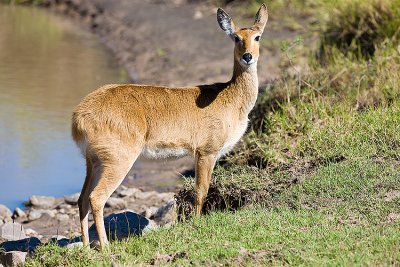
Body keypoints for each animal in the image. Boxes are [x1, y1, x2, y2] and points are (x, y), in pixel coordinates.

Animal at [72, 3, 268, 249]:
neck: (229, 98)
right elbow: (201, 190)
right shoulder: (207, 152)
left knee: (82, 198)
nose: (247, 56)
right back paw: (106, 248)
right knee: (96, 198)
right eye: (236, 37)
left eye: (257, 36)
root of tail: (80, 115)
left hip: (93, 161)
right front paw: (197, 225)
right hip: (117, 160)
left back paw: (87, 249)